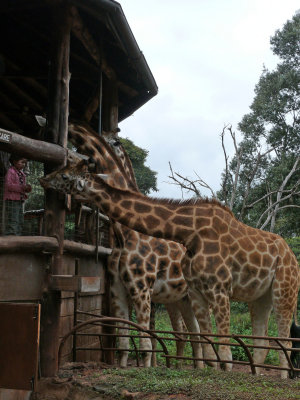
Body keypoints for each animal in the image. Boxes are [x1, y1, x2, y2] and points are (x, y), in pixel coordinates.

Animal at [40, 166, 300, 378]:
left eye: (65, 175)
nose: (43, 179)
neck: (189, 233)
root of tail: (292, 255)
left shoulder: (219, 289)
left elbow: (224, 351)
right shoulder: (195, 292)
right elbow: (208, 348)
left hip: (285, 290)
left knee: (285, 342)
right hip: (260, 297)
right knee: (262, 341)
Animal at [65, 123, 202, 368]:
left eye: (116, 142)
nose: (84, 159)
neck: (124, 233)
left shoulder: (142, 290)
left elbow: (147, 341)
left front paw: (148, 369)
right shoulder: (118, 290)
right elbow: (124, 342)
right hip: (181, 299)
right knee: (191, 336)